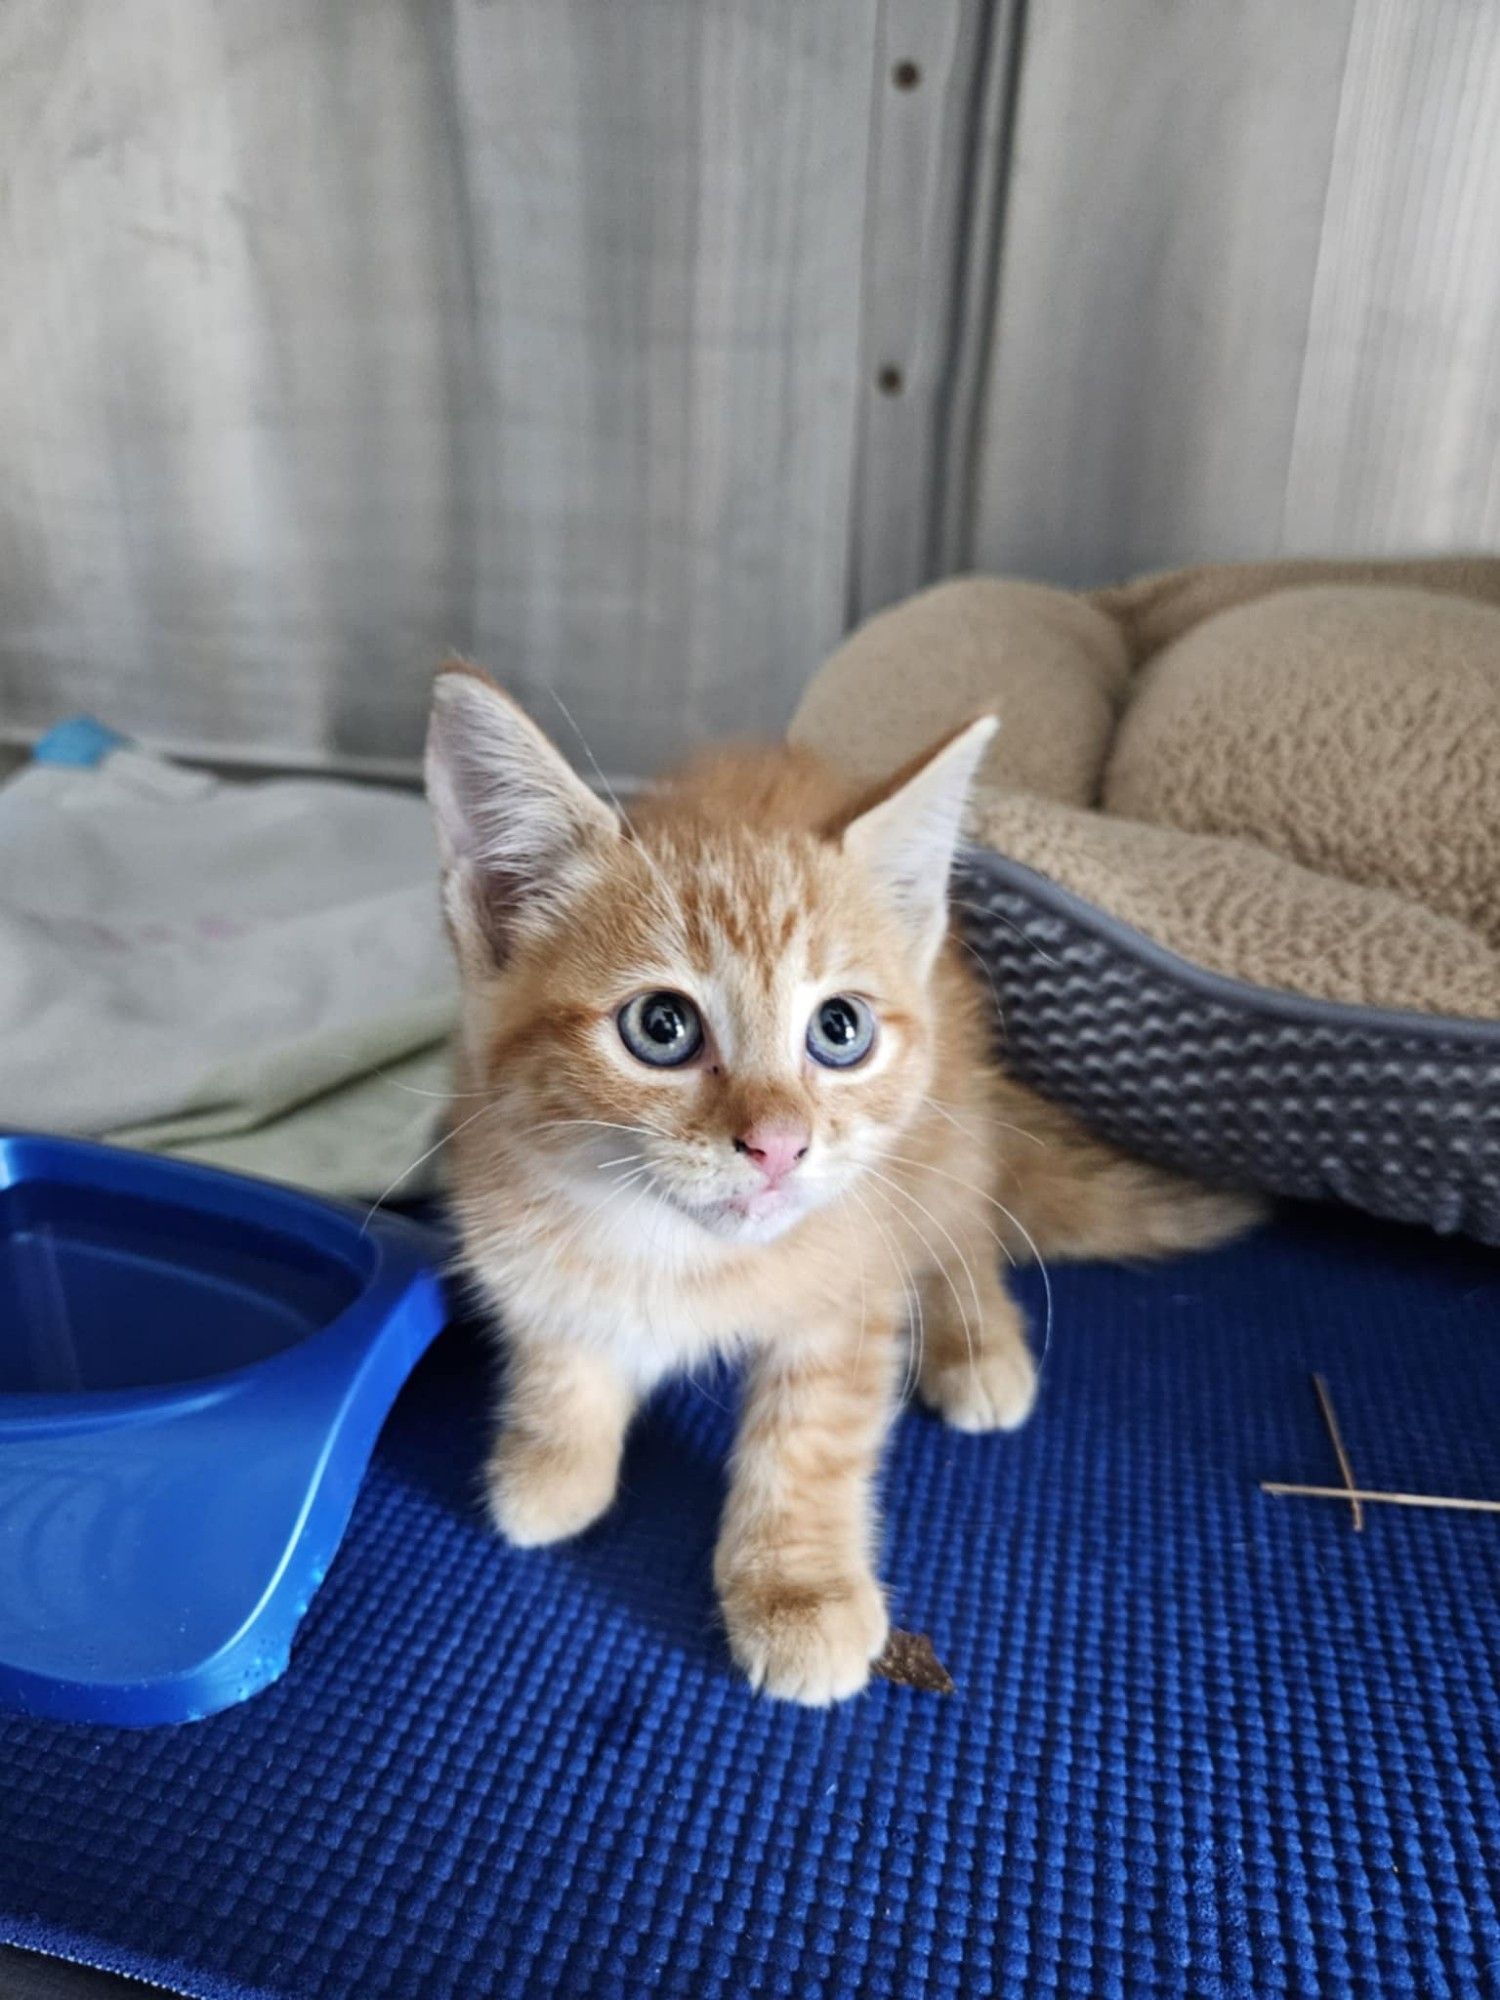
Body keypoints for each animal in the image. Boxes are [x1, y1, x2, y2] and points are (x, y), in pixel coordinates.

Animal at [428, 668, 1264, 1704]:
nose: (779, 1146)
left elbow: (812, 1433)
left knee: (964, 1226)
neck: (670, 1248)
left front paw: (798, 1588)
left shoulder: (853, 1278)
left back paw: (976, 1343)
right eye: (660, 1026)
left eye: (839, 1029)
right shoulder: (501, 1202)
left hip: (941, 1137)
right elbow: (559, 1342)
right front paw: (553, 1461)